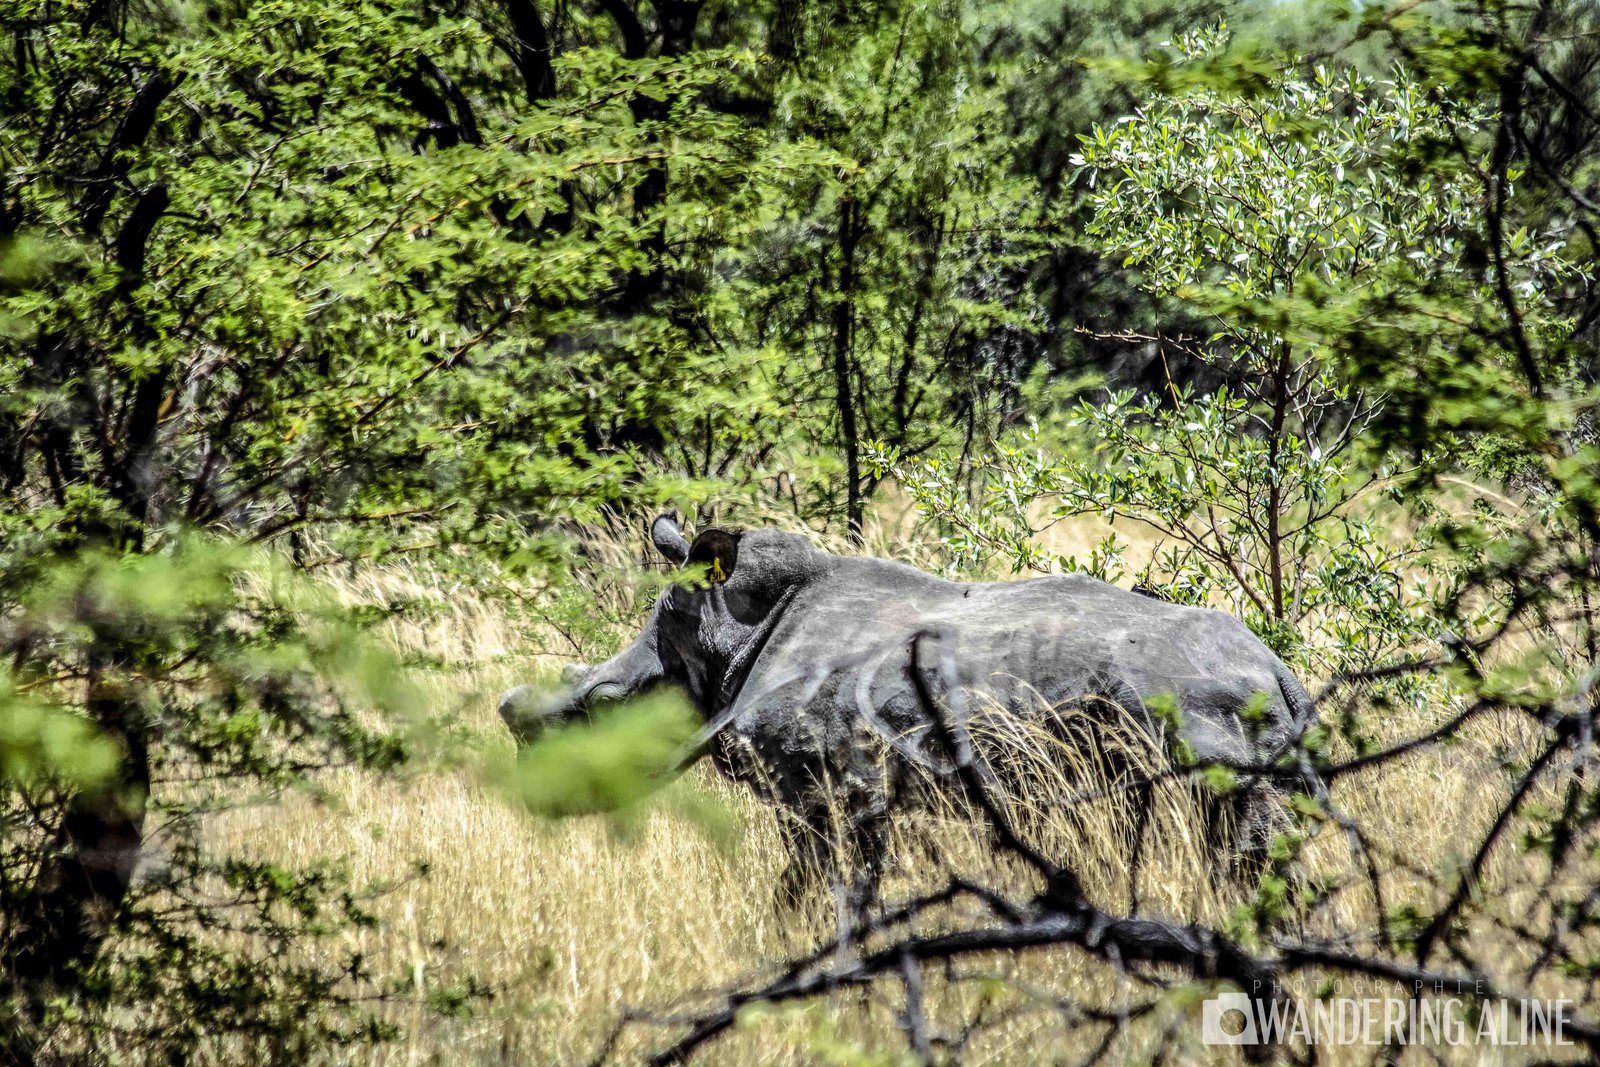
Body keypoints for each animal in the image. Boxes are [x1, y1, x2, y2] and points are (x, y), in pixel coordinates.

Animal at [500, 513, 1315, 899]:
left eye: (600, 704)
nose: (531, 792)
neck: (732, 638)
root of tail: (1279, 673)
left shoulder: (823, 789)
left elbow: (808, 890)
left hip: (1196, 714)